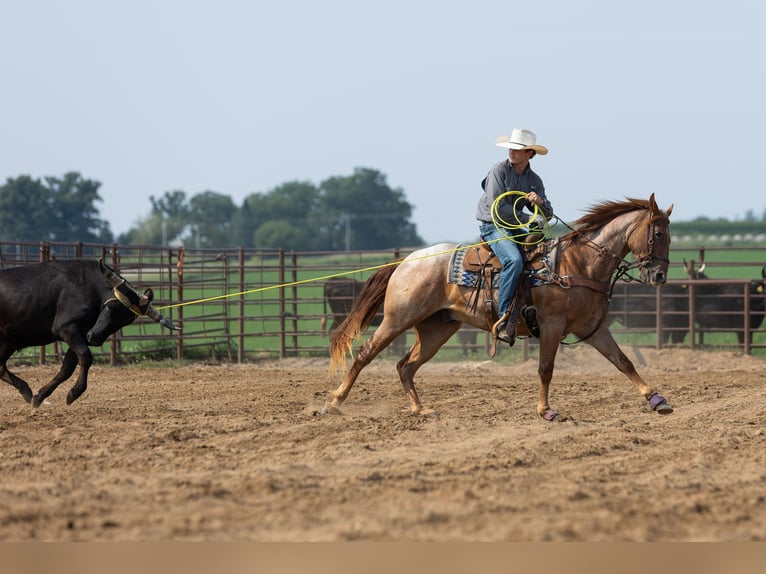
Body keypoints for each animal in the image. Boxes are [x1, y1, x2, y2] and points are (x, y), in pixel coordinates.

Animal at [326, 194, 674, 421]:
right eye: (658, 233)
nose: (659, 275)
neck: (578, 264)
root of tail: (406, 262)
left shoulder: (594, 328)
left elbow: (624, 362)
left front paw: (657, 400)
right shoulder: (552, 326)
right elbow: (545, 369)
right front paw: (546, 411)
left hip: (437, 328)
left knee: (405, 366)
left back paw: (420, 409)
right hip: (398, 318)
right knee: (365, 354)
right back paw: (334, 403)